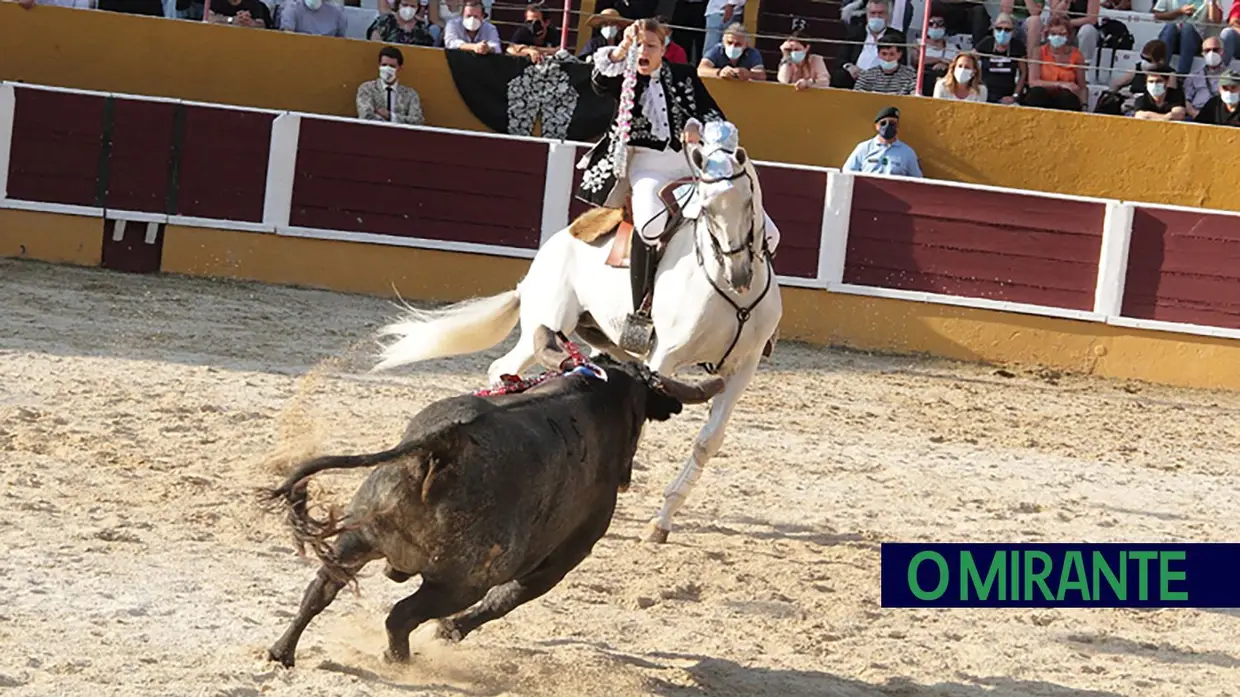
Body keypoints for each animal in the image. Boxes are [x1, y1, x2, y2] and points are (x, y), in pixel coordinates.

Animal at [261, 324, 724, 659]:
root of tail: (445, 443)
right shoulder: (559, 561)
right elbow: (506, 599)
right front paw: (450, 631)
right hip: (459, 582)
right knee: (401, 616)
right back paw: (401, 659)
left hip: (358, 536)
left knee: (321, 588)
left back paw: (281, 652)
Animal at [362, 125, 783, 543]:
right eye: (705, 209)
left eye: (749, 203)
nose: (739, 274)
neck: (729, 290)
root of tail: (549, 251)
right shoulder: (665, 356)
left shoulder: (742, 368)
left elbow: (707, 442)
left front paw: (662, 520)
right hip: (548, 322)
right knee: (503, 366)